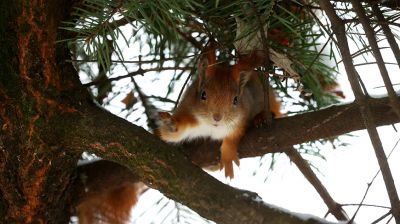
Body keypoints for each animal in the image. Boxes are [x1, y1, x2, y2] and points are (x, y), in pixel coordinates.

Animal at [156, 46, 282, 178]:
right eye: (203, 95)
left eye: (236, 100)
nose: (217, 117)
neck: (213, 128)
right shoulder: (189, 111)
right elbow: (178, 131)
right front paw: (170, 125)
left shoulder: (240, 119)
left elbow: (233, 137)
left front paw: (228, 157)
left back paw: (261, 117)